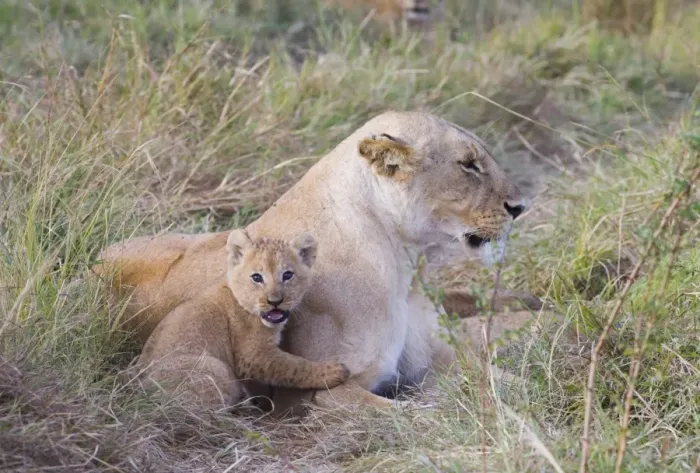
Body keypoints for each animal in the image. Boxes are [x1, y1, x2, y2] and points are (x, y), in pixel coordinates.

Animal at [132, 230, 350, 407]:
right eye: (257, 277)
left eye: (288, 275)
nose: (275, 301)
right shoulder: (254, 355)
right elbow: (294, 366)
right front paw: (333, 372)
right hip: (216, 368)